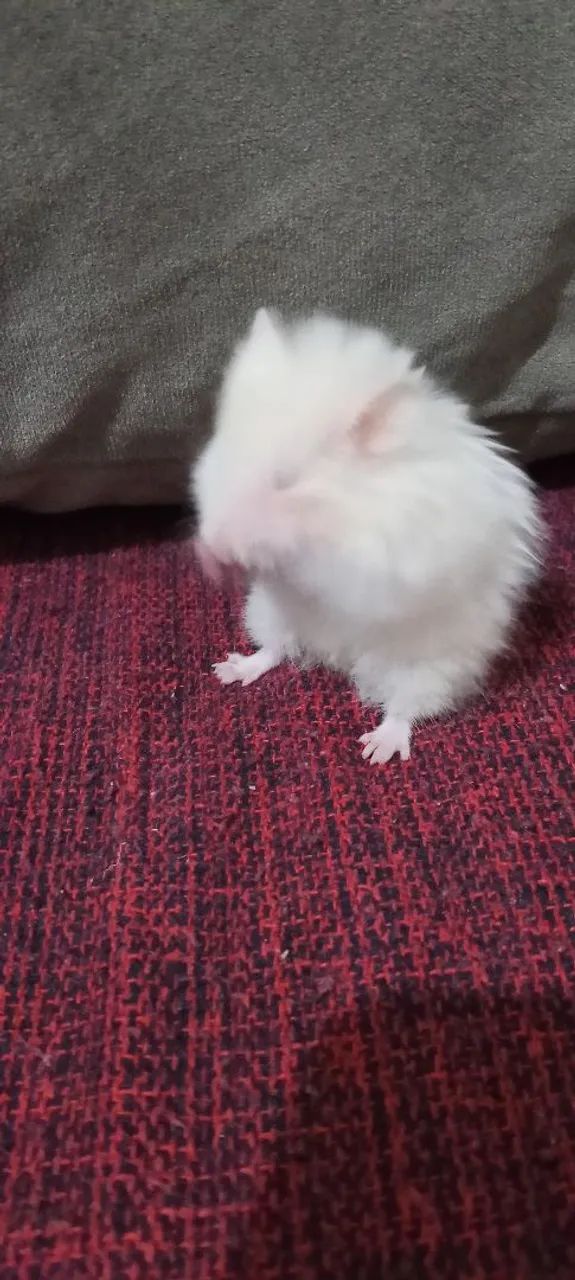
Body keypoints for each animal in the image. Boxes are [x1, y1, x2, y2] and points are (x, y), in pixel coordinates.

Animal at [192, 309, 543, 764]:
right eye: (219, 452)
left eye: (285, 479)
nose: (214, 542)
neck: (338, 507)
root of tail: (336, 654)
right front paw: (211, 558)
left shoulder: (380, 561)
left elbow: (318, 564)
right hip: (269, 613)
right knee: (272, 651)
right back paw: (229, 670)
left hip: (429, 666)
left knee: (405, 708)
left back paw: (377, 750)